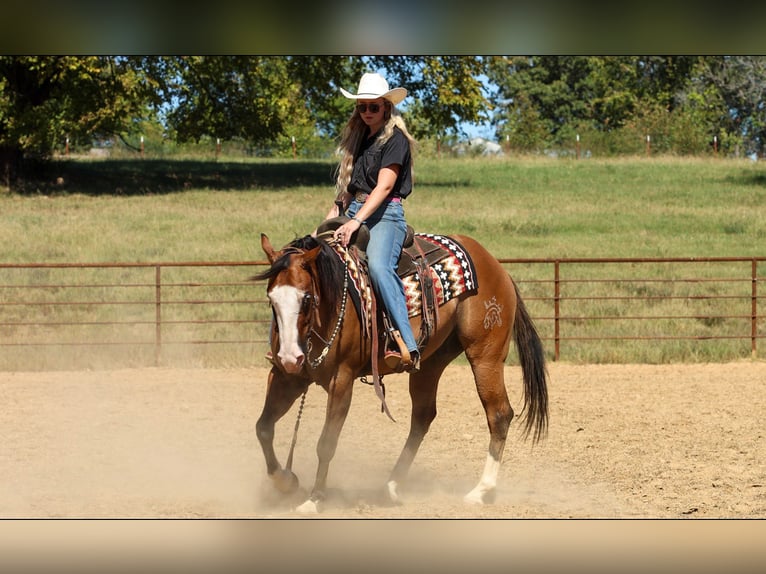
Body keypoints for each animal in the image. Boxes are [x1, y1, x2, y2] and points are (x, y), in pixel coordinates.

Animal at [253, 229, 548, 513]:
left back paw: (480, 491)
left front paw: (314, 500)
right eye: (271, 299)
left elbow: (326, 443)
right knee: (423, 417)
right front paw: (286, 481)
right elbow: (264, 428)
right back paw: (392, 485)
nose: (290, 356)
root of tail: (497, 267)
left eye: (306, 298)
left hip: (485, 355)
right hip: (431, 363)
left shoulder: (342, 379)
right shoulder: (286, 377)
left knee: (499, 414)